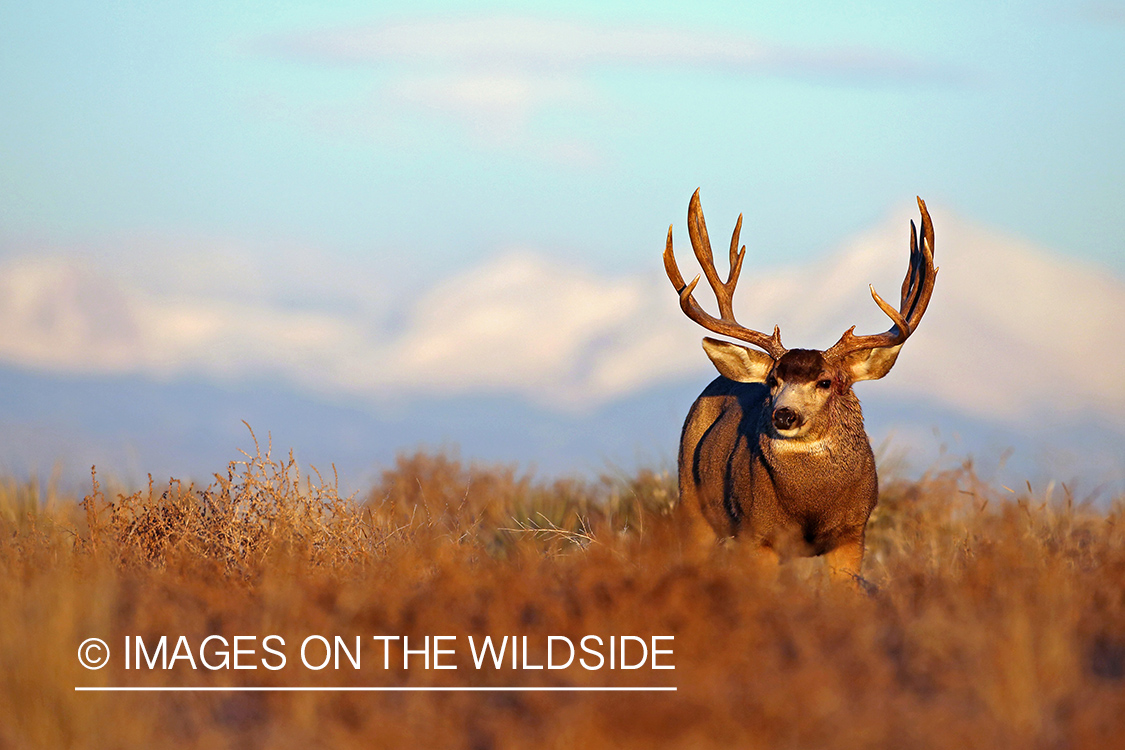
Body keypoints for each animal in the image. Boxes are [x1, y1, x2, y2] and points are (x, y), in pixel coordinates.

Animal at [663, 189, 936, 583]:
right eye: (773, 380)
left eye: (826, 381)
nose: (784, 415)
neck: (811, 507)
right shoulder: (757, 534)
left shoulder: (853, 534)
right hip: (692, 500)